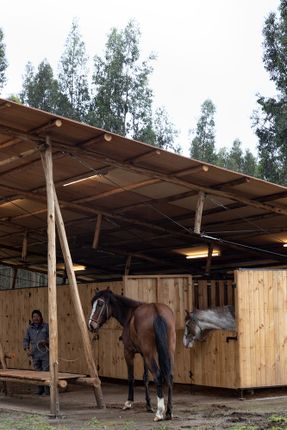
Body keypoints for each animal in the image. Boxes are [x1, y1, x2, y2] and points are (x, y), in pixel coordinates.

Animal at [89, 288, 177, 422]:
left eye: (100, 304)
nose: (91, 325)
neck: (130, 315)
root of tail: (156, 310)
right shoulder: (144, 354)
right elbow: (145, 377)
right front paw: (148, 405)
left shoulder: (129, 352)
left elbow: (131, 377)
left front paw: (129, 402)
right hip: (167, 351)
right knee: (169, 375)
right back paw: (169, 411)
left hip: (150, 353)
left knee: (158, 375)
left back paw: (159, 412)